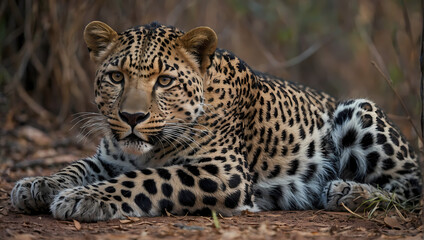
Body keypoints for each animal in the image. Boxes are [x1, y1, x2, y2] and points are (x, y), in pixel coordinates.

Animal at [9, 20, 420, 221]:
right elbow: (76, 166)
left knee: (412, 187)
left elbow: (146, 179)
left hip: (357, 110)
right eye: (116, 77)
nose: (132, 117)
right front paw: (36, 184)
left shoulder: (223, 171)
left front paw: (83, 198)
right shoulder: (110, 157)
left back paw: (348, 191)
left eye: (164, 81)